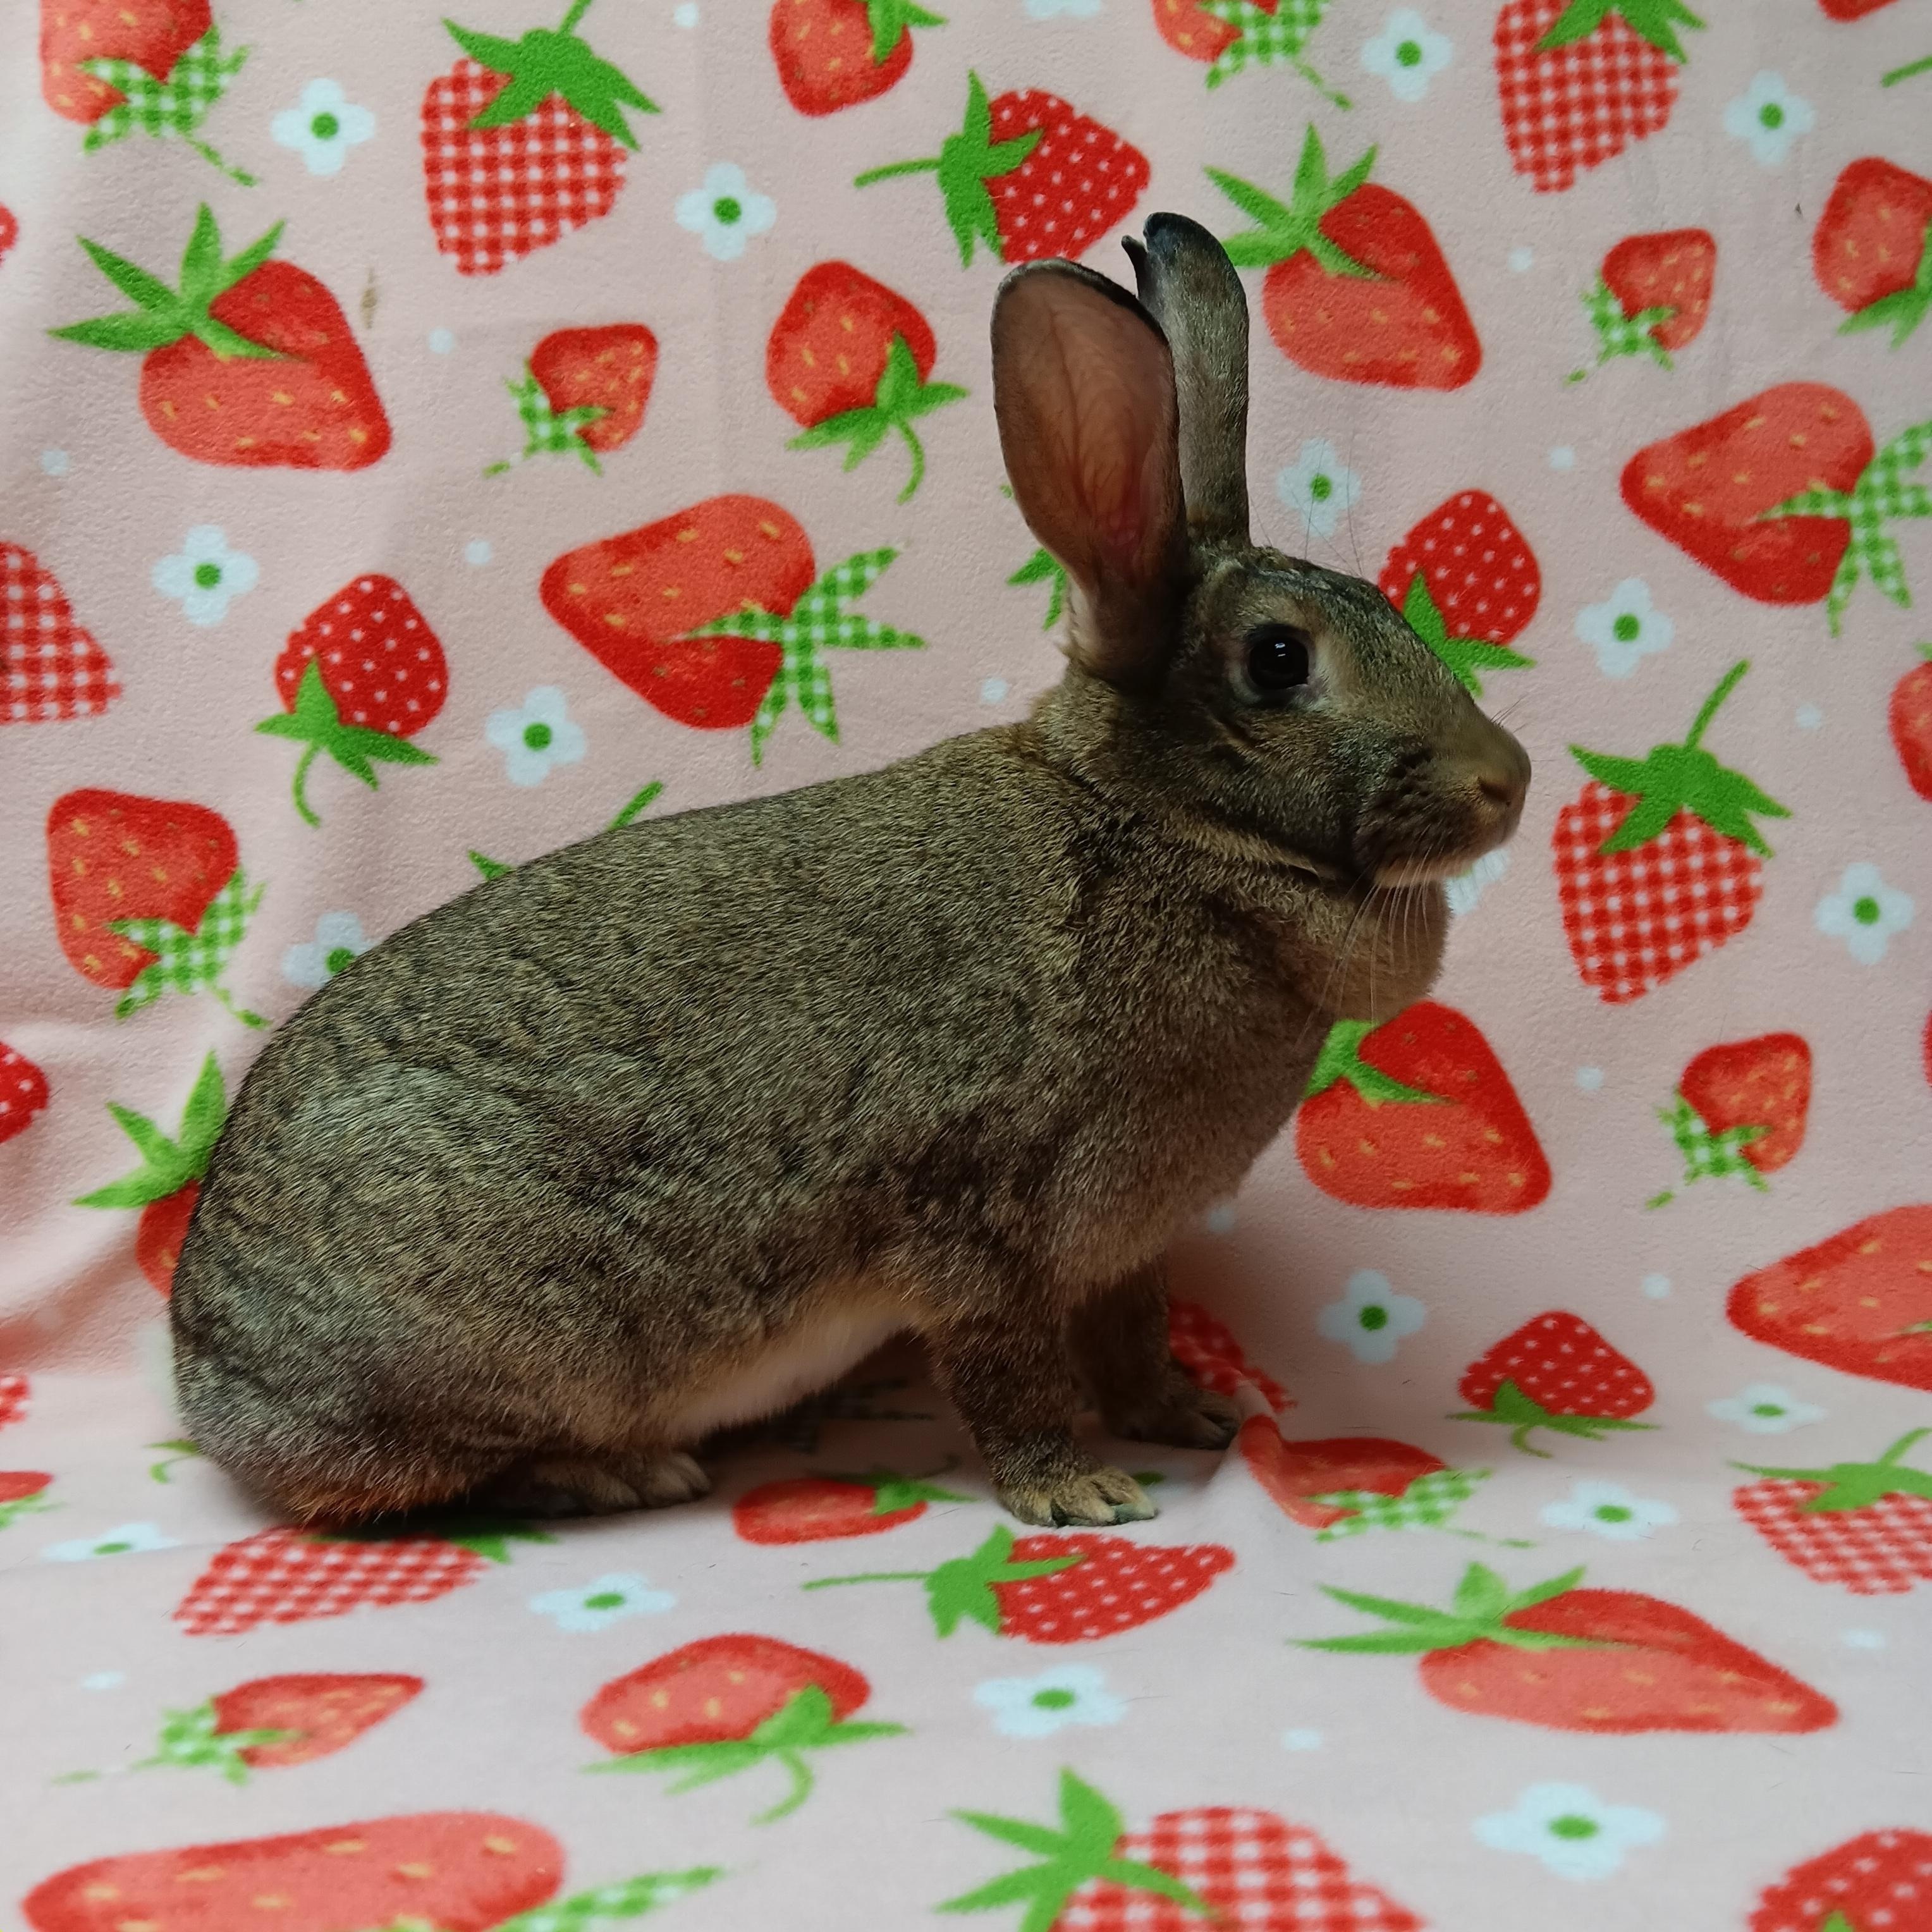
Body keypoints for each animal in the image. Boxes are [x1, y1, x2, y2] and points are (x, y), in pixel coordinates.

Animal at [171, 214, 1530, 1531]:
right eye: (1280, 662)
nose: (1507, 779)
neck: (1151, 827)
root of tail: (206, 1378)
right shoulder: (981, 1223)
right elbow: (1007, 1369)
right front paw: (1080, 1493)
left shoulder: (1124, 1250)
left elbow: (1132, 1340)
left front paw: (1193, 1418)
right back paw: (624, 1476)